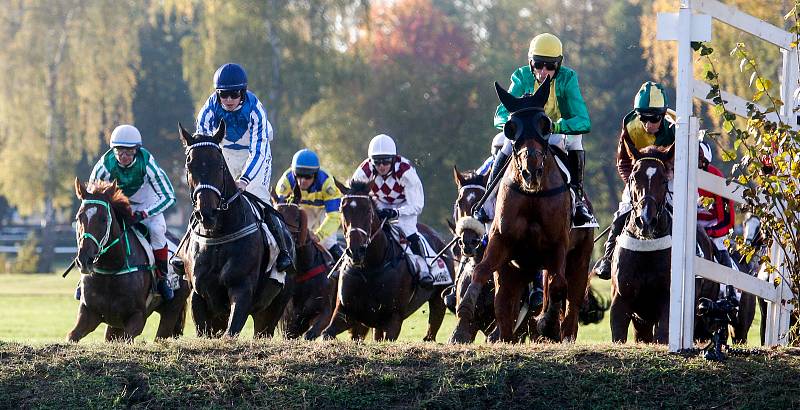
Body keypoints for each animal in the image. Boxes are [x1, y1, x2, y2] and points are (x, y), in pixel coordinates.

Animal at [68, 179, 188, 342]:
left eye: (104, 219)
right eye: (79, 217)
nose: (84, 259)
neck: (111, 269)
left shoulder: (137, 316)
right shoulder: (89, 313)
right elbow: (71, 336)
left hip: (172, 309)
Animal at [180, 122, 286, 340]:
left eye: (220, 165)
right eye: (189, 165)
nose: (207, 213)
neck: (217, 236)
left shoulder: (242, 288)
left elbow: (232, 330)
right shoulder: (198, 294)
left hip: (272, 308)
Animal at [320, 181, 456, 342]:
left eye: (368, 211)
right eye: (343, 210)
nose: (356, 251)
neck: (370, 267)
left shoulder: (393, 319)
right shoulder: (346, 312)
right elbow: (326, 333)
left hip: (438, 300)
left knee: (430, 333)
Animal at [454, 77, 596, 342]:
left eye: (545, 124)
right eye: (511, 127)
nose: (532, 171)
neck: (532, 196)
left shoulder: (558, 244)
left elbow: (558, 285)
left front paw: (547, 323)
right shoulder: (501, 242)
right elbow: (481, 271)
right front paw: (465, 310)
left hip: (579, 259)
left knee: (570, 305)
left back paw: (560, 331)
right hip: (517, 269)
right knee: (505, 307)